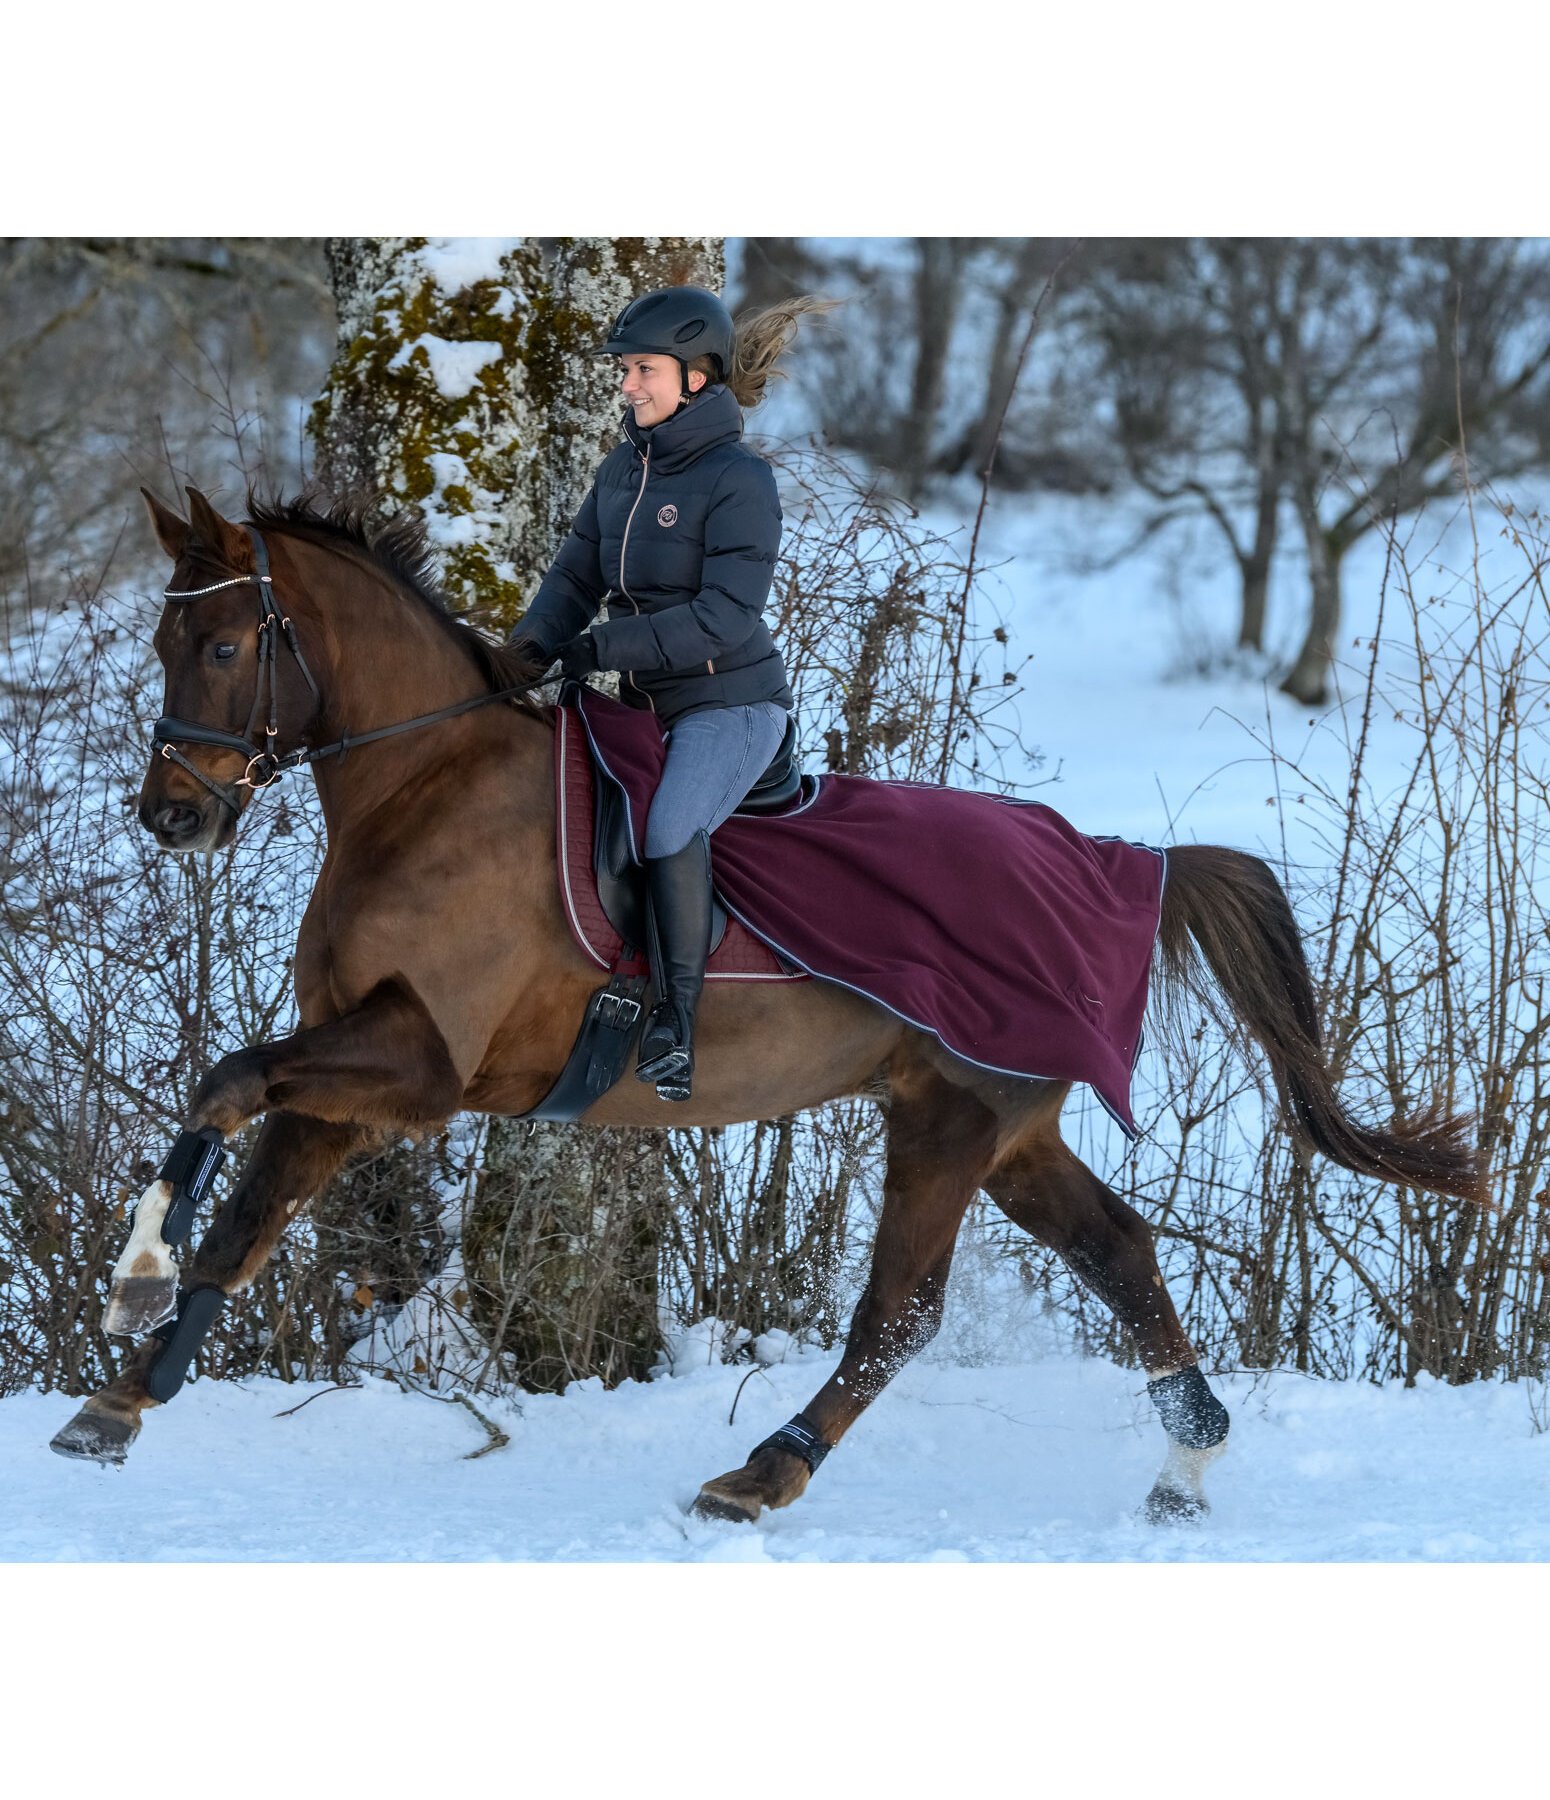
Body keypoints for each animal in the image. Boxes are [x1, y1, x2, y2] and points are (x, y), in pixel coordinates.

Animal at [48, 486, 1483, 1526]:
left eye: (224, 643)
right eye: (163, 641)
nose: (172, 818)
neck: (424, 785)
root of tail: (1122, 863)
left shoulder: (419, 1067)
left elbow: (224, 1081)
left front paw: (128, 1292)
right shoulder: (355, 1087)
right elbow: (241, 1215)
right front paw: (122, 1395)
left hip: (950, 1125)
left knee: (898, 1317)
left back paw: (762, 1474)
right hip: (1008, 1130)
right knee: (1120, 1252)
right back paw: (1183, 1466)